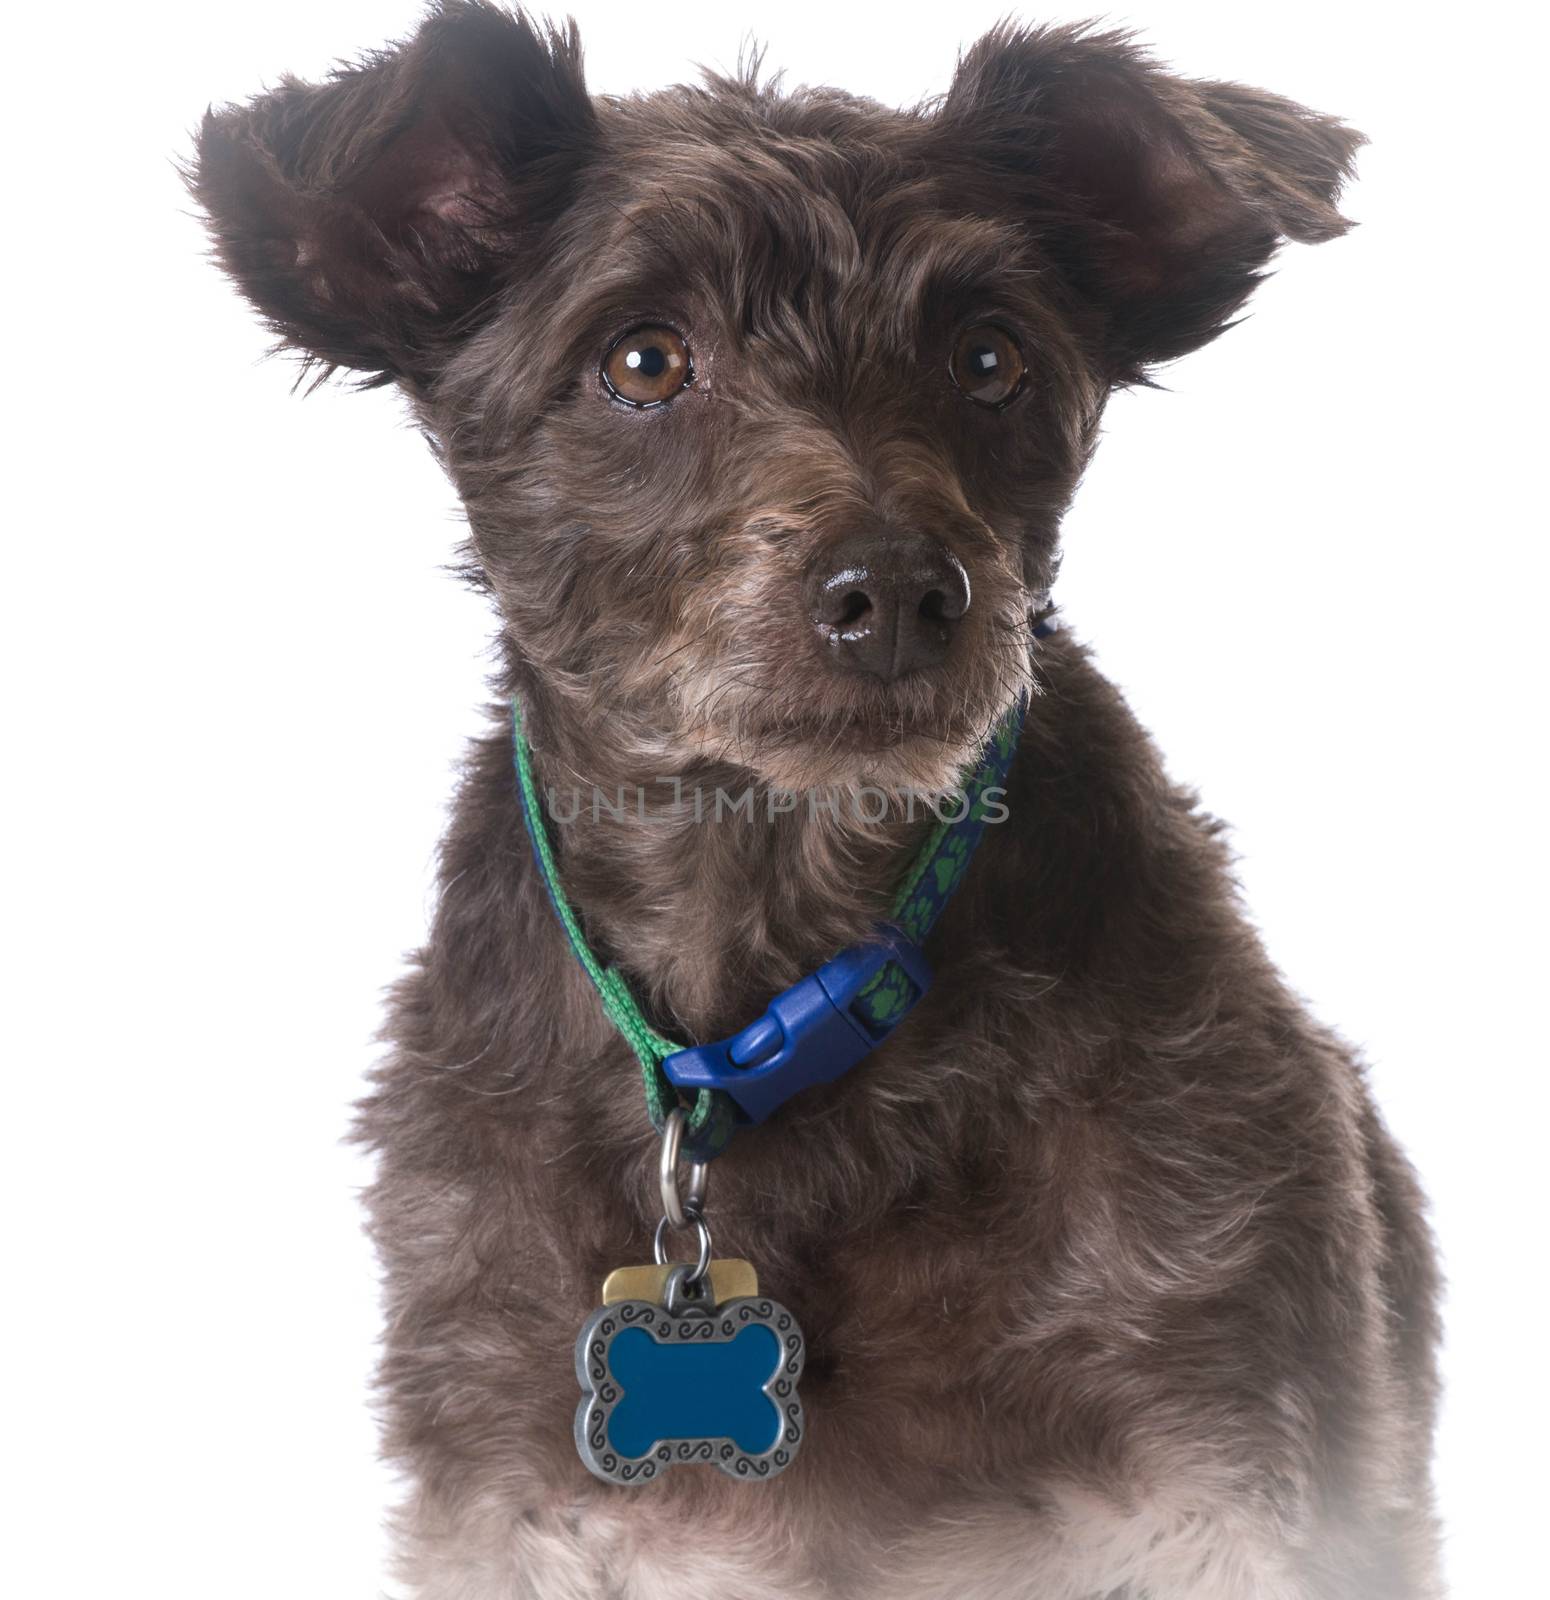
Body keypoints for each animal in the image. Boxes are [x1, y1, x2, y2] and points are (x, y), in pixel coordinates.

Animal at [190, 6, 1439, 1593]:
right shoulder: (509, 1485)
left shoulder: (1229, 1441)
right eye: (644, 358)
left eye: (987, 355)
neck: (773, 925)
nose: (898, 590)